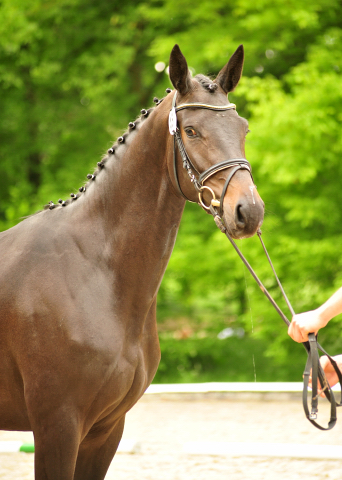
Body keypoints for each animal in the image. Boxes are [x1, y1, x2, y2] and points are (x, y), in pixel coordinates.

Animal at [0, 44, 264, 476]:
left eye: (243, 129)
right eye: (191, 131)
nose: (249, 211)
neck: (95, 275)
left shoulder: (106, 430)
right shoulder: (57, 426)